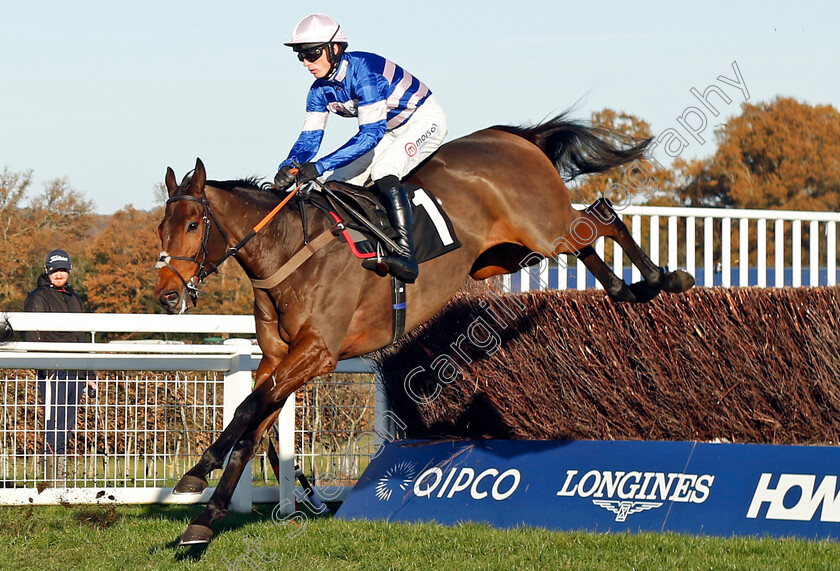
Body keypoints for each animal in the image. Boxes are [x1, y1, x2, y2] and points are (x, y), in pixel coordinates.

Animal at [154, 113, 692, 544]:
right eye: (161, 227)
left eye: (192, 226)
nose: (167, 296)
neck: (289, 253)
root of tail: (511, 137)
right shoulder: (276, 358)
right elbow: (250, 427)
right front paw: (203, 521)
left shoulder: (317, 353)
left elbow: (247, 410)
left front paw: (197, 473)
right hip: (508, 255)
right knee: (589, 235)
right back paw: (629, 290)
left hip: (545, 229)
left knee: (603, 214)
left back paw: (666, 279)